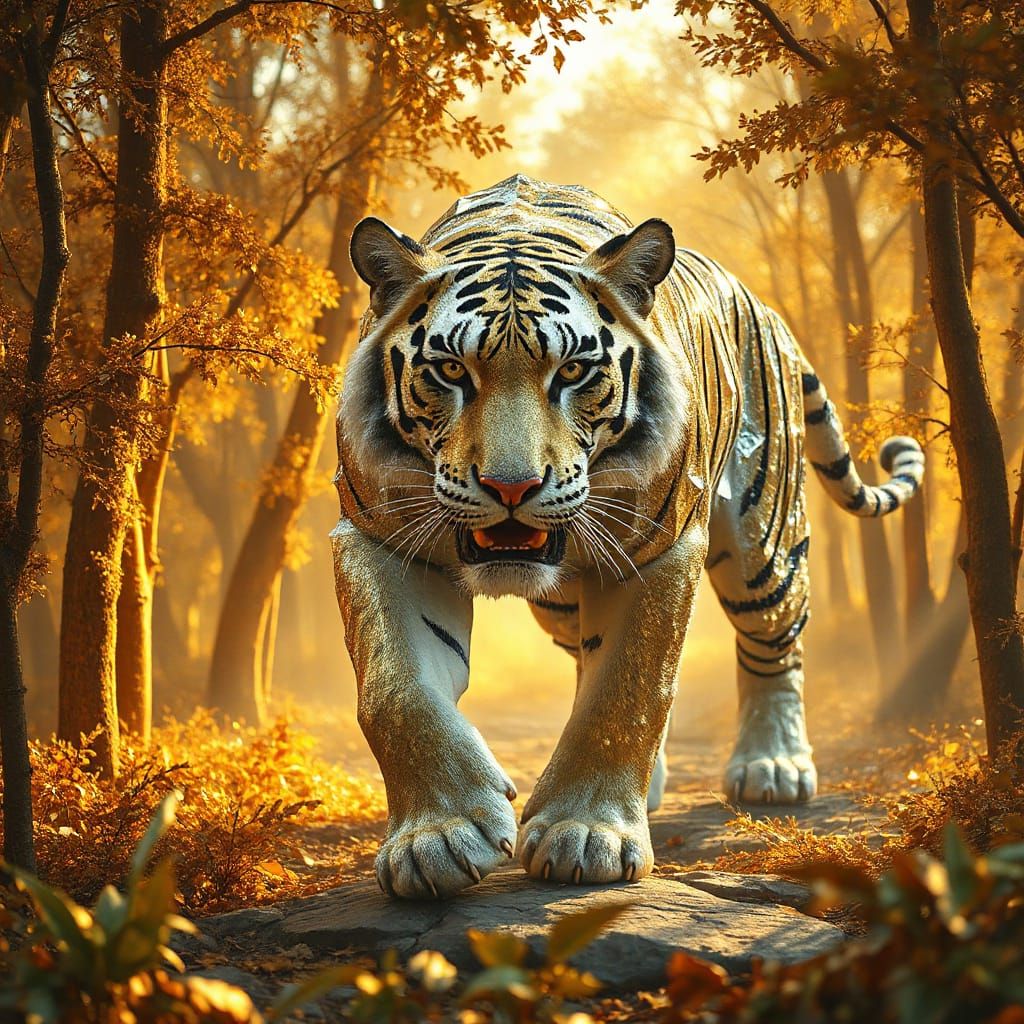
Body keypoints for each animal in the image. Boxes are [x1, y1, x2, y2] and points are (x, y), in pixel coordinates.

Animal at [332, 173, 924, 899]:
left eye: (573, 373)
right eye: (450, 373)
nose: (510, 488)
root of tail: (762, 304)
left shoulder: (658, 549)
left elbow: (630, 689)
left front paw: (588, 835)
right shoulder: (376, 538)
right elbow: (395, 691)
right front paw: (438, 837)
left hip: (764, 541)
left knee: (775, 645)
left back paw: (773, 766)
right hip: (559, 603)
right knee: (585, 652)